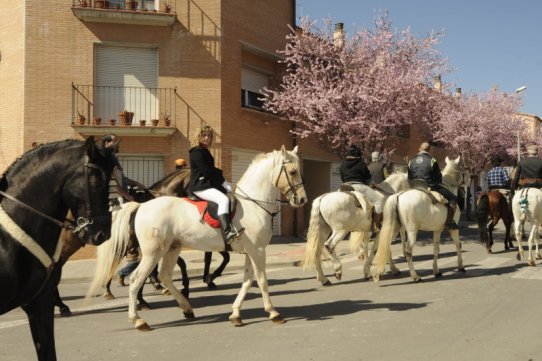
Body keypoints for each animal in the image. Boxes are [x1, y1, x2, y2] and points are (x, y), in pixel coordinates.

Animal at [87, 146, 308, 330]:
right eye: (293, 172)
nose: (302, 200)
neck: (253, 204)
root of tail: (141, 206)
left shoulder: (250, 251)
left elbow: (247, 281)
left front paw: (236, 314)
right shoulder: (258, 251)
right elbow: (262, 280)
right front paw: (273, 313)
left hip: (171, 249)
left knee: (164, 276)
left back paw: (186, 308)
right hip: (152, 253)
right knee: (136, 280)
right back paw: (138, 320)